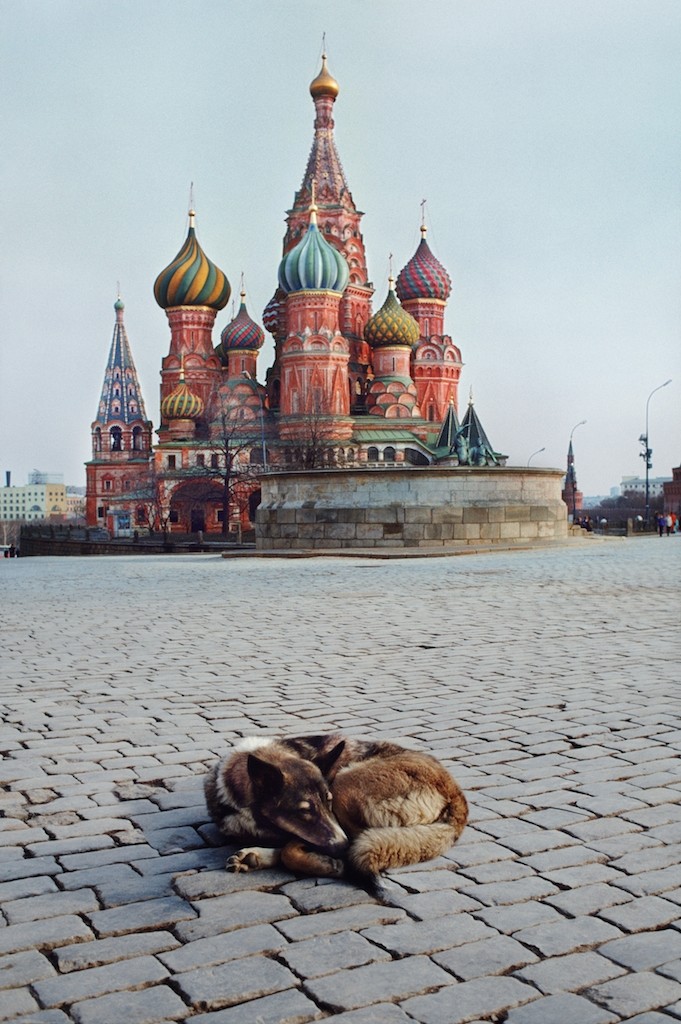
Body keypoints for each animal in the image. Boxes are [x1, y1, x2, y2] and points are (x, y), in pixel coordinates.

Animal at [201, 737, 466, 897]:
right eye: (304, 811)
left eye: (327, 802)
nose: (342, 847)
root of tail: (456, 793)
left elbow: (291, 848)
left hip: (344, 783)